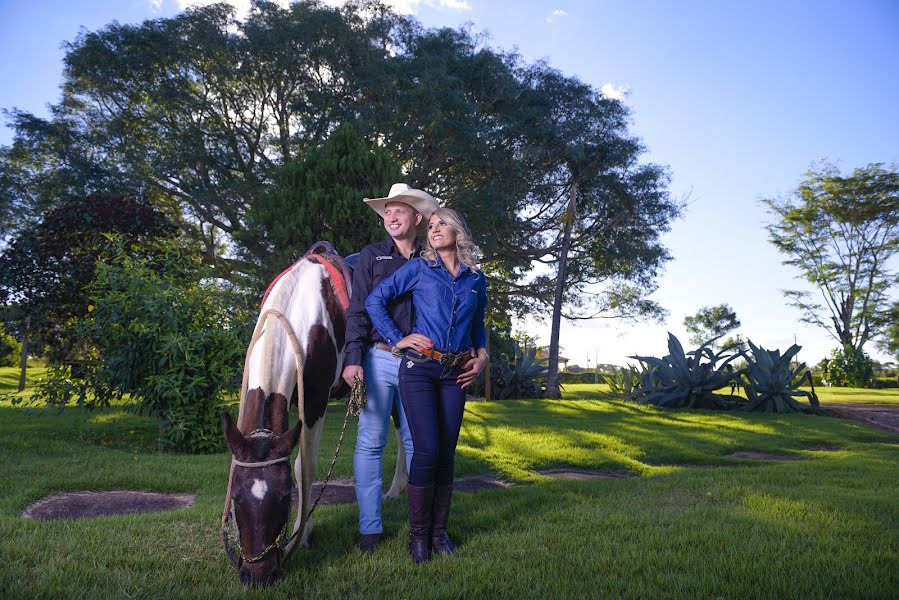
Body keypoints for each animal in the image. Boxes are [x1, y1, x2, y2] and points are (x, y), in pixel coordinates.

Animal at [223, 244, 410, 584]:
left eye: (285, 497)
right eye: (235, 497)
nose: (258, 575)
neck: (300, 311)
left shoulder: (314, 402)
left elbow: (305, 467)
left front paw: (302, 534)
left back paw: (397, 488)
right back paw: (396, 489)